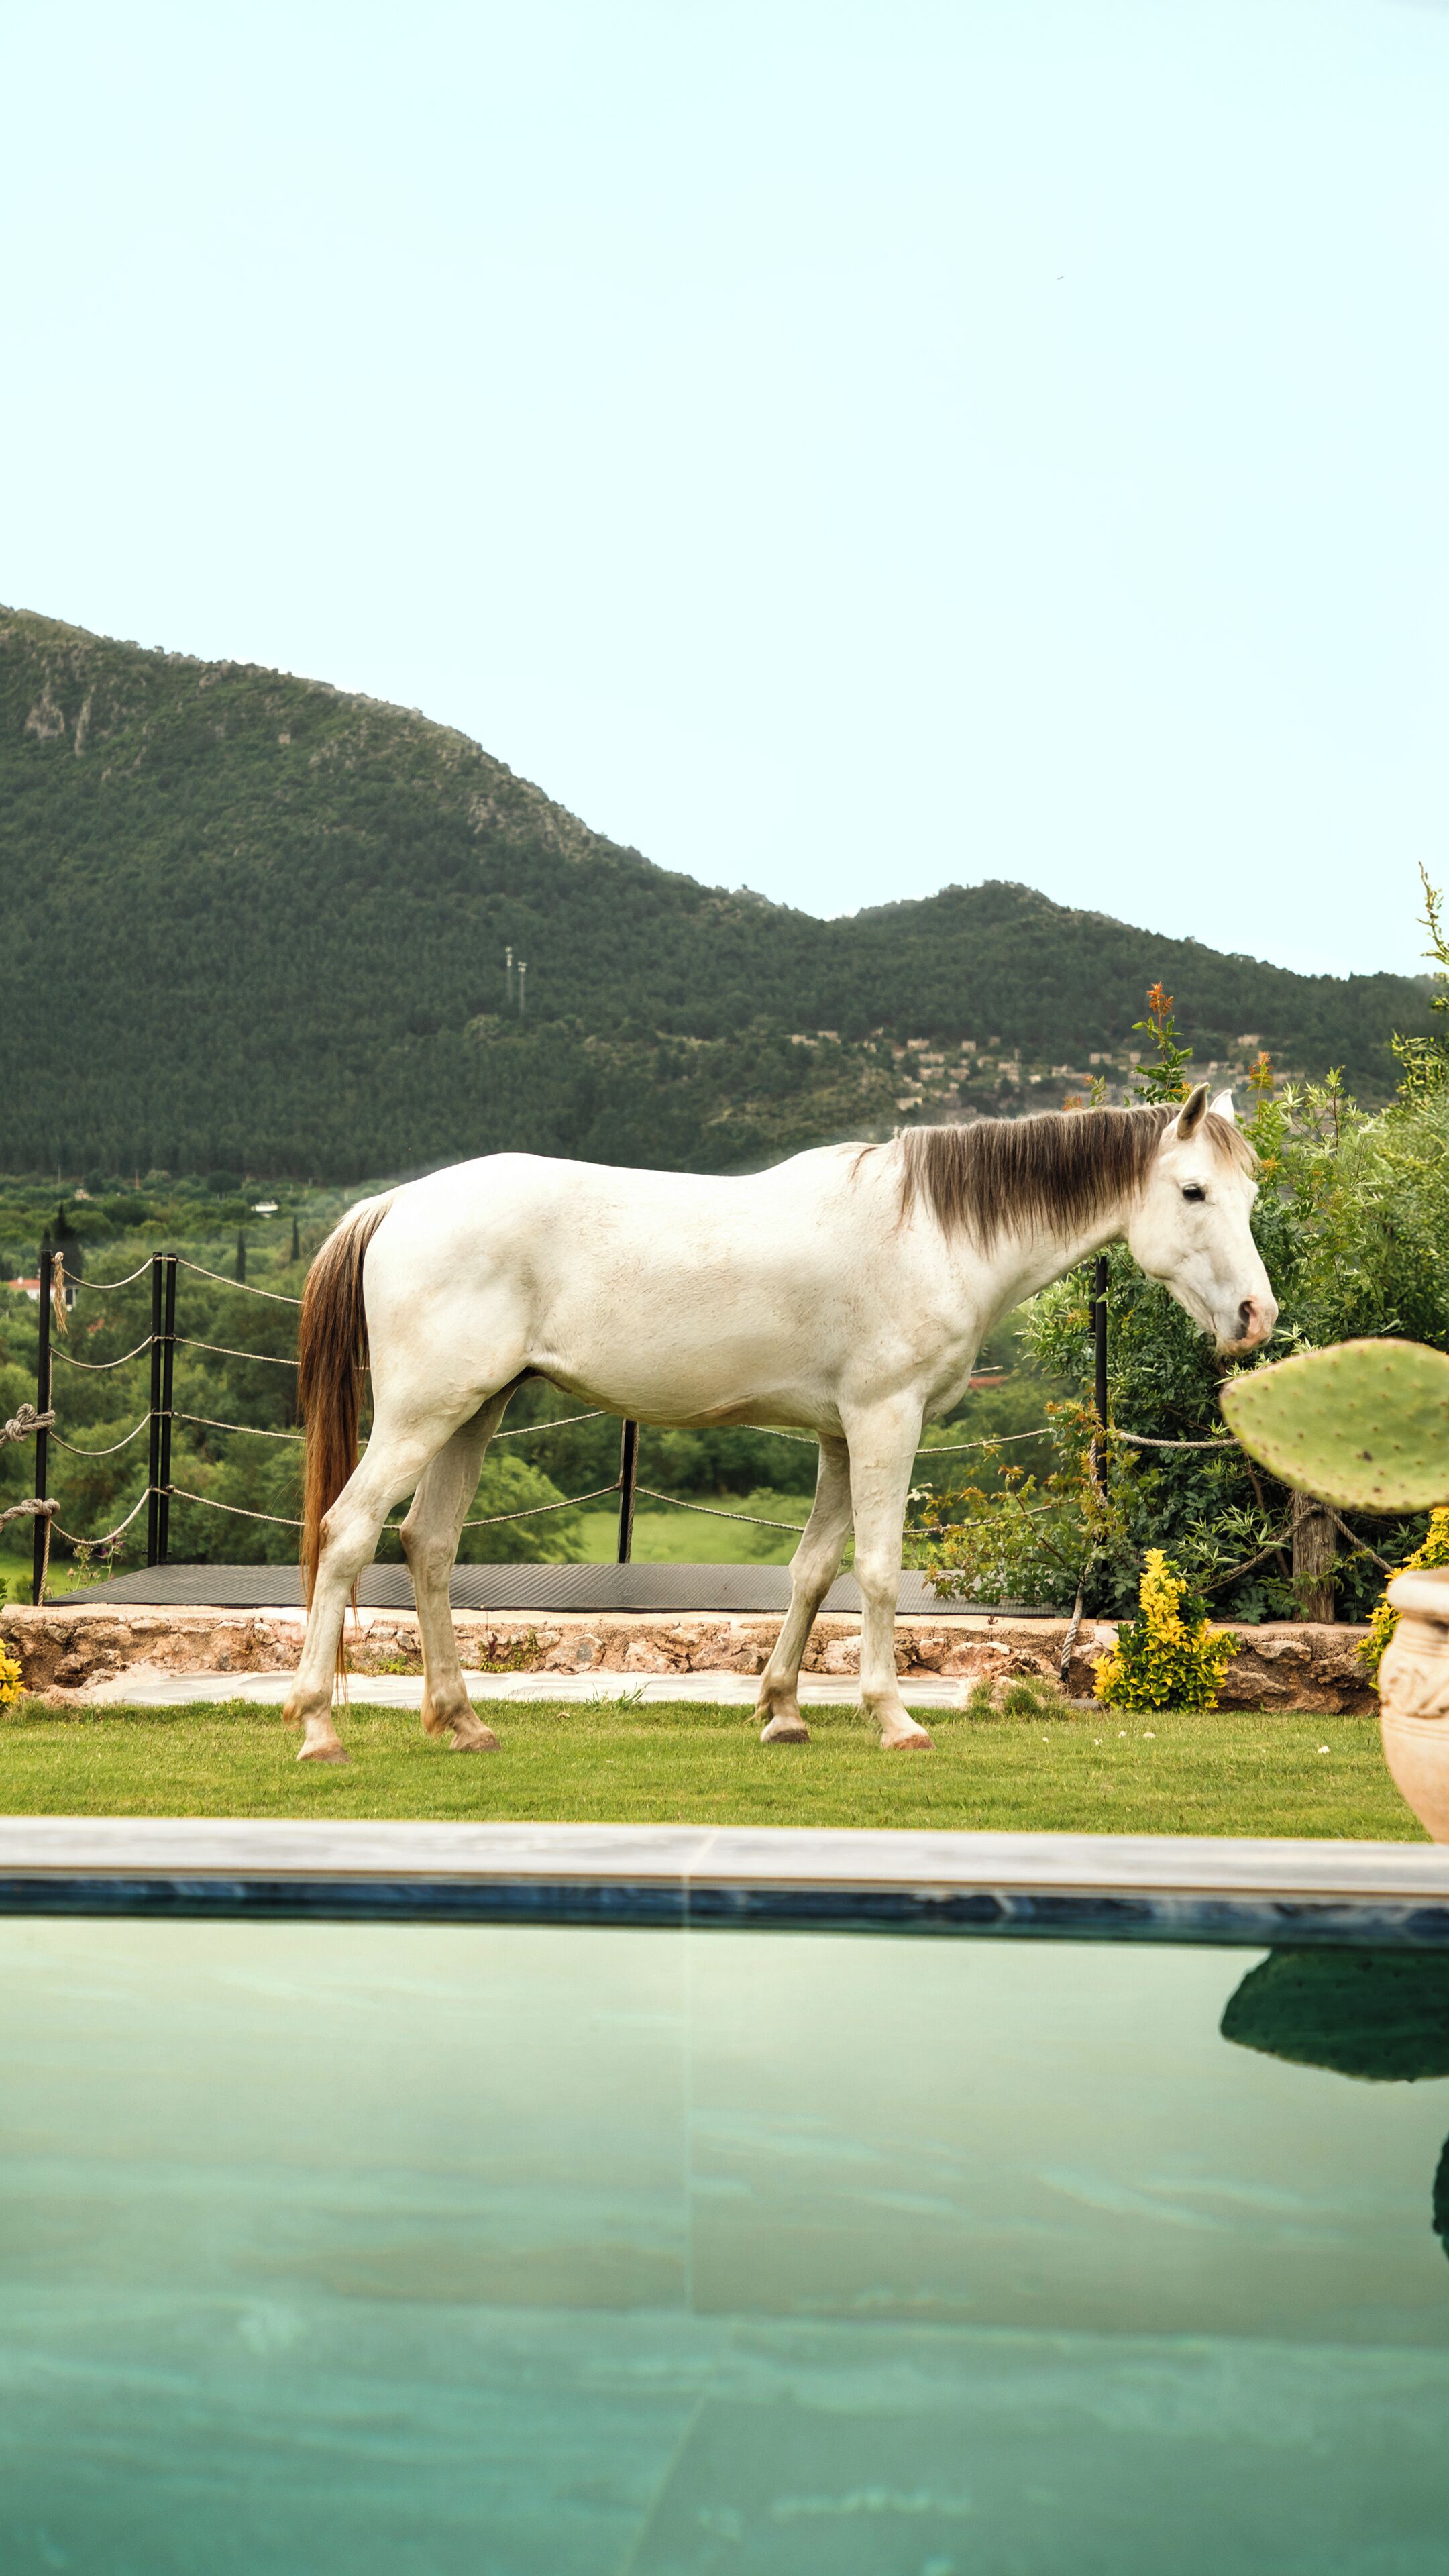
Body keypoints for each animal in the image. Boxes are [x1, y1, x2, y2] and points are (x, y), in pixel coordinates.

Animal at [284, 1083, 1275, 1762]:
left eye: (1251, 1196)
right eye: (1194, 1192)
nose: (1256, 1317)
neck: (931, 1235)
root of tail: (398, 1203)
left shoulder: (840, 1435)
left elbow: (811, 1571)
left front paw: (784, 1711)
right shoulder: (885, 1421)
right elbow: (877, 1571)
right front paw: (893, 1717)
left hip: (474, 1412)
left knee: (429, 1544)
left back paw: (463, 1721)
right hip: (422, 1415)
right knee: (348, 1532)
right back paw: (319, 1726)